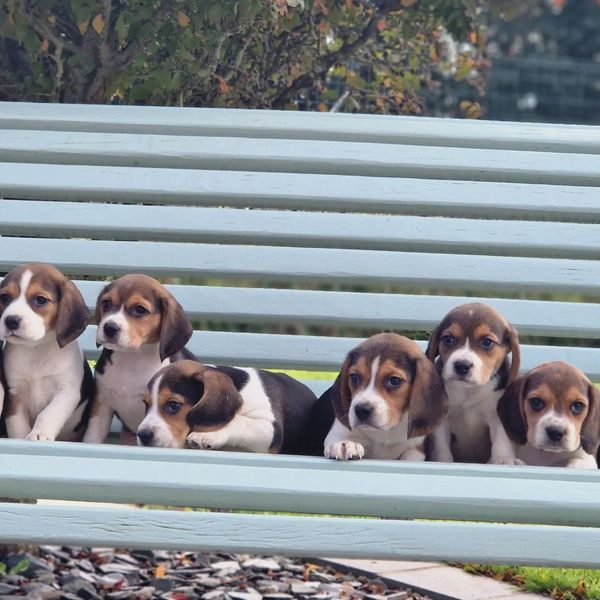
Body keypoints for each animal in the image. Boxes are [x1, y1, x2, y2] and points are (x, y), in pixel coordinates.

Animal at [0, 262, 92, 440]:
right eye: (5, 297)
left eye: (40, 300)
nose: (11, 320)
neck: (36, 349)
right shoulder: (15, 393)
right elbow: (17, 424)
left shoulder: (66, 391)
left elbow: (48, 414)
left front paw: (39, 434)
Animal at [82, 276, 192, 446]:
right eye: (106, 303)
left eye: (140, 309)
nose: (109, 327)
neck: (132, 357)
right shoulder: (102, 403)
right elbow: (92, 437)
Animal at [137, 358, 318, 452]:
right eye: (146, 404)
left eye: (173, 405)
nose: (143, 435)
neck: (240, 389)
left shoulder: (269, 427)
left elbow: (239, 420)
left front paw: (205, 435)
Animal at [322, 332, 448, 460]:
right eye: (354, 377)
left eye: (394, 380)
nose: (361, 410)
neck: (386, 432)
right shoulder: (337, 433)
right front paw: (346, 444)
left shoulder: (416, 449)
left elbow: (409, 456)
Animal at [426, 302, 520, 466]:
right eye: (448, 339)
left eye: (487, 342)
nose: (461, 366)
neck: (468, 390)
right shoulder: (442, 418)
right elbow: (441, 447)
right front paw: (442, 461)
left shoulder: (497, 413)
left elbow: (501, 440)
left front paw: (503, 460)